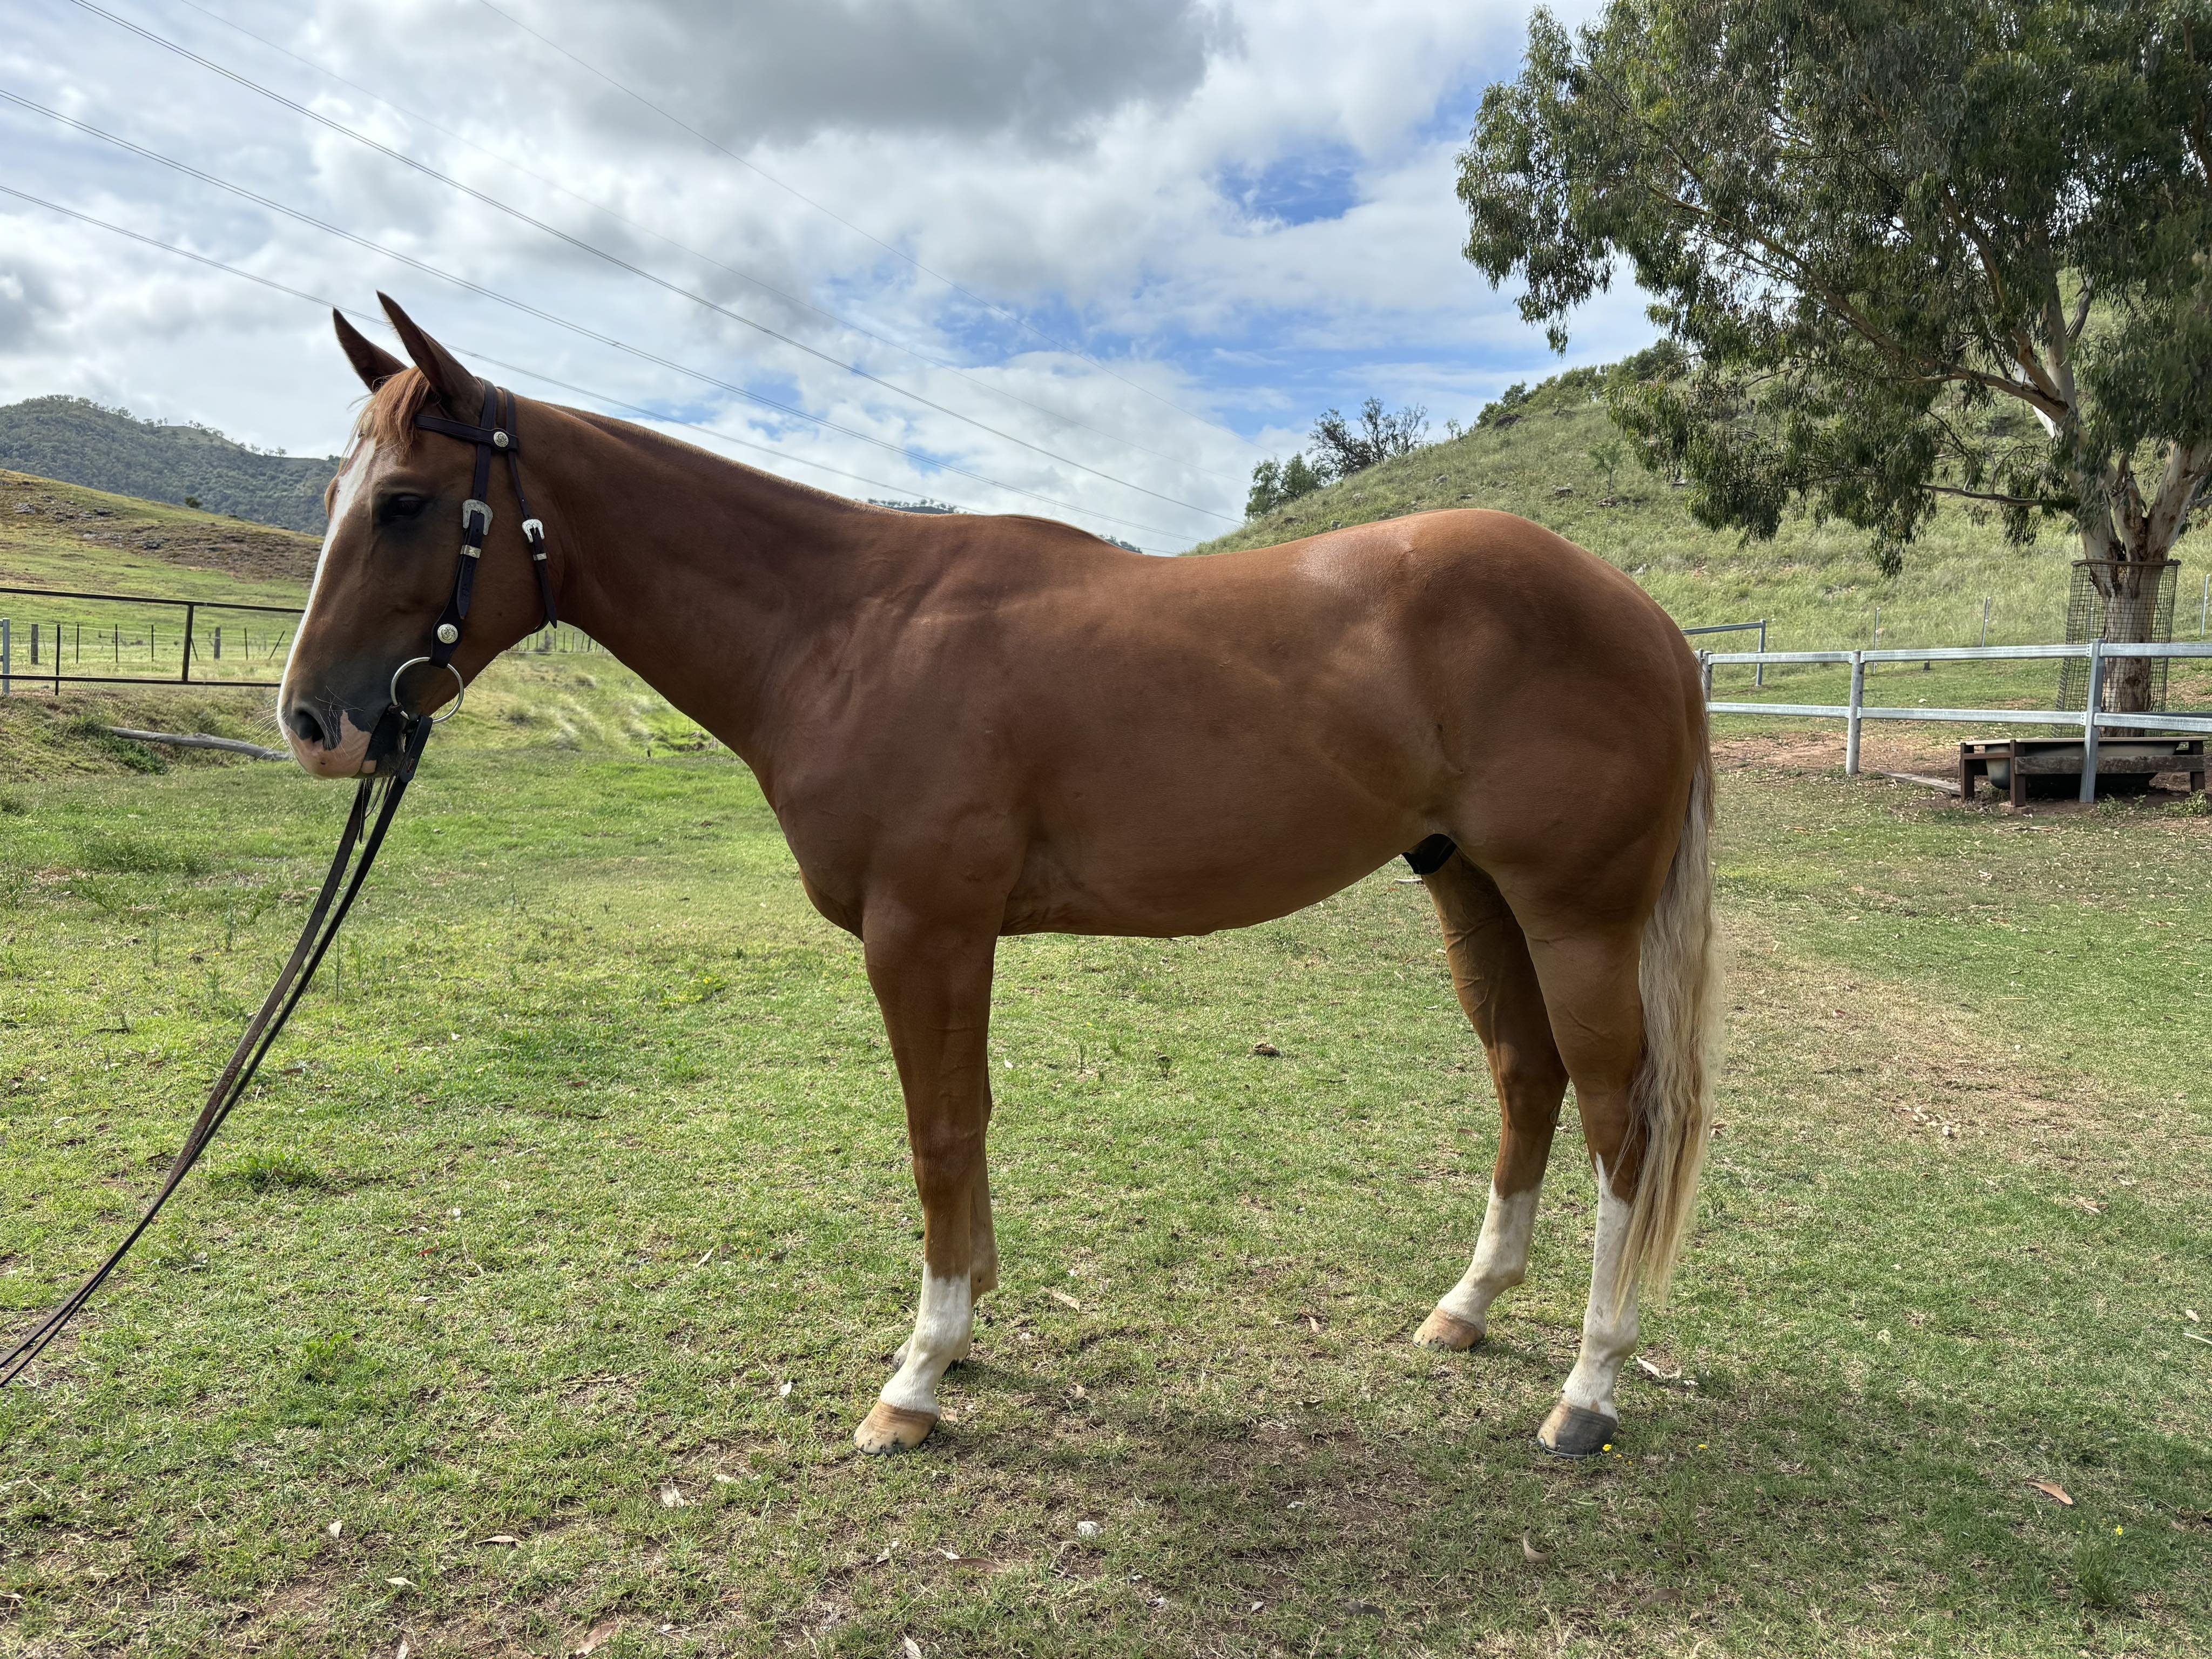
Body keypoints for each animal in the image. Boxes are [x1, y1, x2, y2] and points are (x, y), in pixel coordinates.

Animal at [284, 295, 1721, 1457]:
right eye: (338, 500)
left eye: (406, 501)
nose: (312, 723)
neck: (845, 628)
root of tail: (1648, 619)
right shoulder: (952, 938)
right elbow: (967, 1123)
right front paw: (964, 1327)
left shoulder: (921, 932)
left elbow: (937, 1135)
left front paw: (917, 1375)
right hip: (1471, 891)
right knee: (1526, 1079)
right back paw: (1467, 1308)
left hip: (1577, 918)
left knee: (1622, 1123)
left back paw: (1587, 1391)